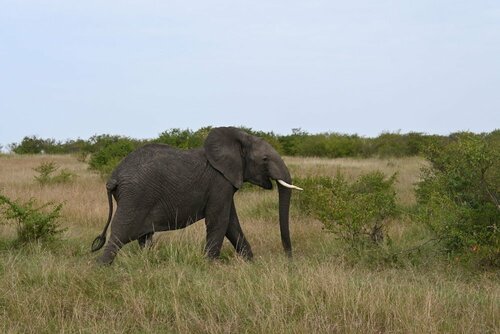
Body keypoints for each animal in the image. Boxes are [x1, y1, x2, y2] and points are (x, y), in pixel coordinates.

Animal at [90, 126, 302, 264]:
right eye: (265, 159)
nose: (289, 260)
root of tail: (113, 177)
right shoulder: (219, 182)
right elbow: (220, 221)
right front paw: (210, 266)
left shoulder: (226, 183)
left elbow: (232, 223)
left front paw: (251, 264)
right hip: (135, 197)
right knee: (119, 235)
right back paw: (102, 268)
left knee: (144, 237)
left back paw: (146, 263)